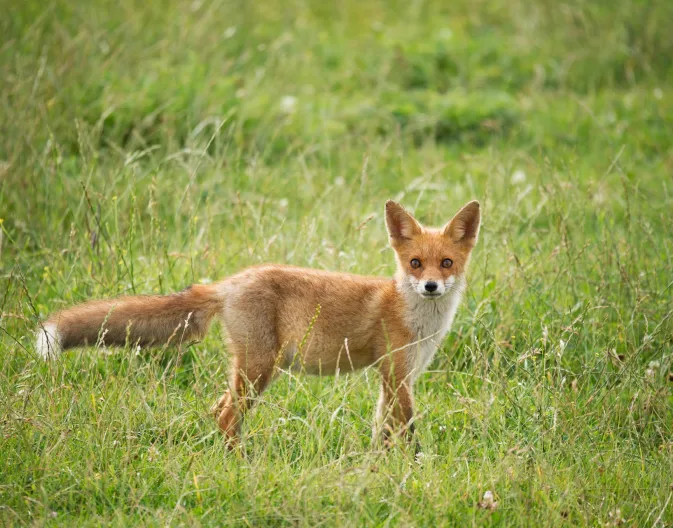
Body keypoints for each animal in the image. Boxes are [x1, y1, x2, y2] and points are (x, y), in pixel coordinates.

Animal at [36, 200, 480, 448]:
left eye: (446, 263)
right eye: (415, 263)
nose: (430, 286)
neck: (416, 318)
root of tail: (229, 282)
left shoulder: (397, 377)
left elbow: (383, 430)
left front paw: (381, 468)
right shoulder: (396, 375)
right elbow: (409, 430)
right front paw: (416, 466)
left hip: (250, 370)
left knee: (217, 410)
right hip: (259, 368)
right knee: (226, 416)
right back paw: (240, 463)